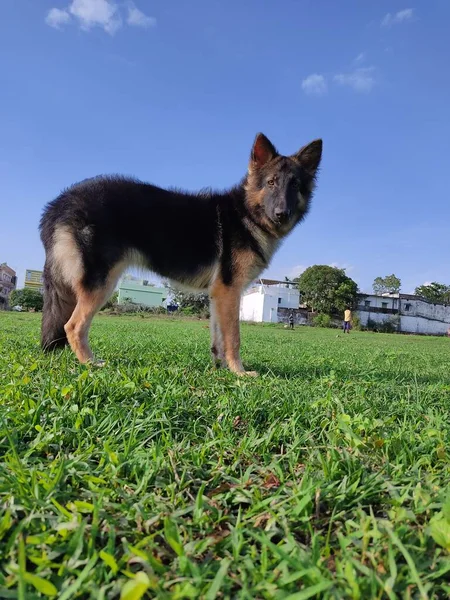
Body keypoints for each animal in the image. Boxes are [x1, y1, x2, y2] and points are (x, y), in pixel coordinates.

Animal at [37, 133, 320, 372]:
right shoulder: (230, 292)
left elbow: (219, 338)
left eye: (295, 186)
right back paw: (91, 363)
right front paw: (239, 372)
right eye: (271, 183)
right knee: (73, 326)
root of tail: (59, 203)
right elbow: (234, 337)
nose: (282, 214)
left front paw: (220, 369)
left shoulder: (219, 294)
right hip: (101, 284)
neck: (246, 212)